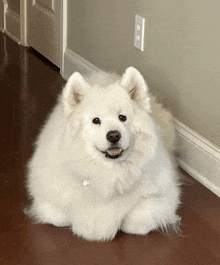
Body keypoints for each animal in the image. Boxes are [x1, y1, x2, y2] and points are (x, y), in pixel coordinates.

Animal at [26, 66, 180, 241]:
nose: (113, 135)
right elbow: (61, 216)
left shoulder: (164, 198)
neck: (108, 172)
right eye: (96, 120)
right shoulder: (47, 197)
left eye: (122, 117)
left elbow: (134, 221)